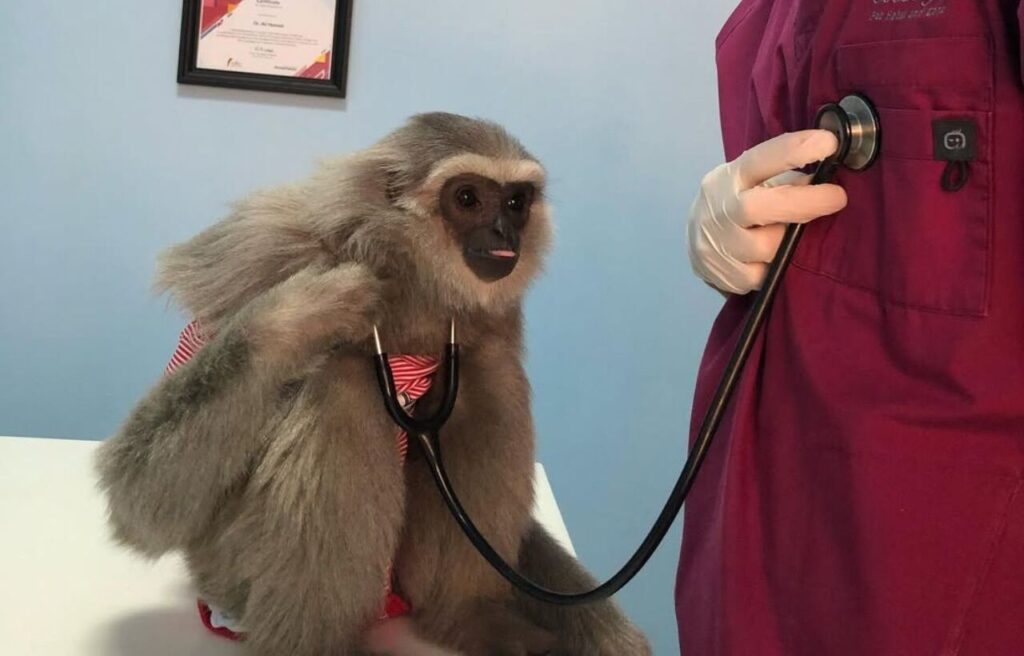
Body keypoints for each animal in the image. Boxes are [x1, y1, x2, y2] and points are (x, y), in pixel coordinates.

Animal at [95, 112, 652, 656]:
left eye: (517, 202)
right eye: (468, 198)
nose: (502, 230)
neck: (410, 278)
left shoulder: (496, 316)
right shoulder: (254, 253)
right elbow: (138, 500)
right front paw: (302, 310)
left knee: (488, 373)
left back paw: (467, 616)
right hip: (225, 572)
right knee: (341, 381)